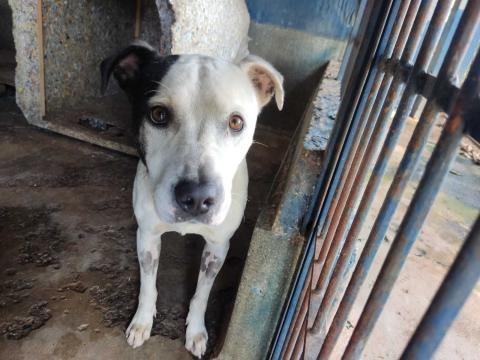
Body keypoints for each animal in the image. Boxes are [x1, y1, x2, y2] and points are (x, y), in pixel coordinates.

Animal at [100, 41, 284, 358]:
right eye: (158, 115)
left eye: (236, 122)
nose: (197, 198)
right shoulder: (147, 236)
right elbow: (148, 285)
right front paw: (142, 321)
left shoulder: (218, 247)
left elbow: (202, 293)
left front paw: (196, 331)